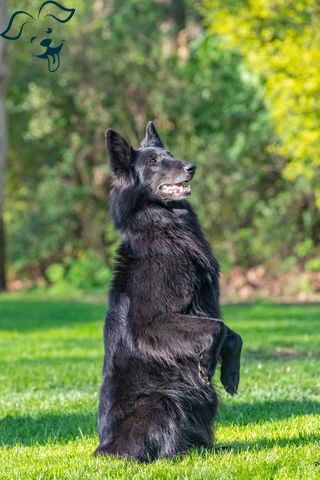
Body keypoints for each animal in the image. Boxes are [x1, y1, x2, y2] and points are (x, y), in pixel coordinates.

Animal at [94, 123, 242, 462]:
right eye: (153, 162)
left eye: (170, 154)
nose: (191, 167)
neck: (165, 229)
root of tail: (107, 447)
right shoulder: (151, 325)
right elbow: (216, 329)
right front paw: (207, 364)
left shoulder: (205, 305)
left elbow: (232, 334)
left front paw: (229, 374)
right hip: (164, 401)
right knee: (162, 450)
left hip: (203, 404)